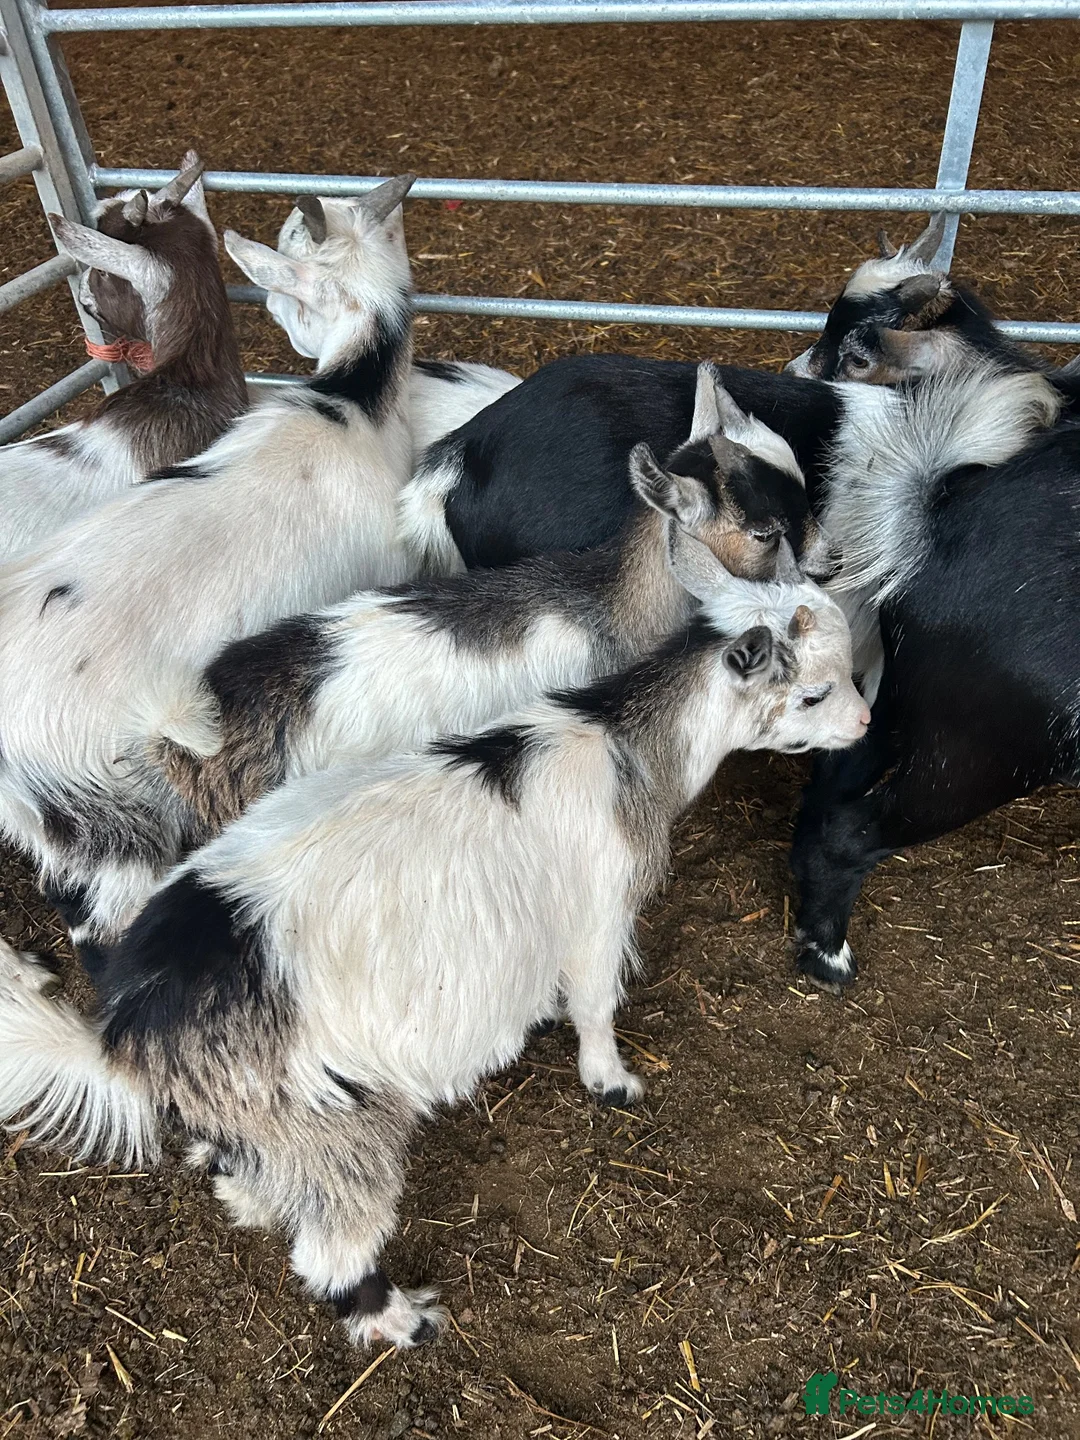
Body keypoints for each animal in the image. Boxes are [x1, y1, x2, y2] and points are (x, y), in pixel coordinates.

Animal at [0, 558, 867, 1350]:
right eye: (813, 693)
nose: (862, 728)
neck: (620, 742)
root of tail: (129, 1029)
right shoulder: (597, 914)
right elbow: (594, 1004)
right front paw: (612, 1082)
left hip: (258, 1113)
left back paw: (251, 1198)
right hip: (331, 1120)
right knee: (332, 1249)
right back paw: (402, 1321)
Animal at [788, 361, 1068, 991]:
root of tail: (932, 528)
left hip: (905, 692)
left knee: (838, 770)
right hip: (989, 749)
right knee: (851, 831)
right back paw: (831, 961)